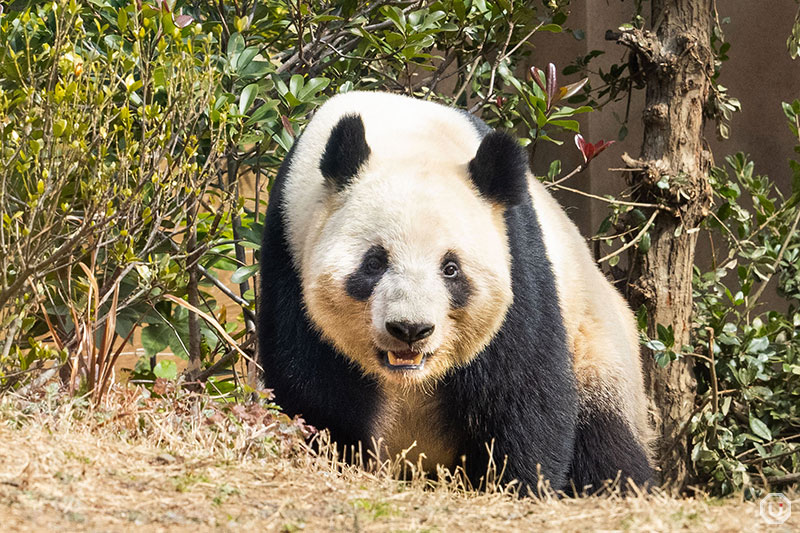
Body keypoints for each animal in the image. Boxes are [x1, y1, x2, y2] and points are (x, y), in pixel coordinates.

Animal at [260, 89, 652, 492]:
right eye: (374, 263)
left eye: (451, 269)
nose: (410, 330)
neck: (406, 136)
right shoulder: (288, 253)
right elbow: (317, 386)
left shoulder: (517, 256)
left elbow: (521, 389)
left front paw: (516, 482)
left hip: (596, 345)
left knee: (605, 438)